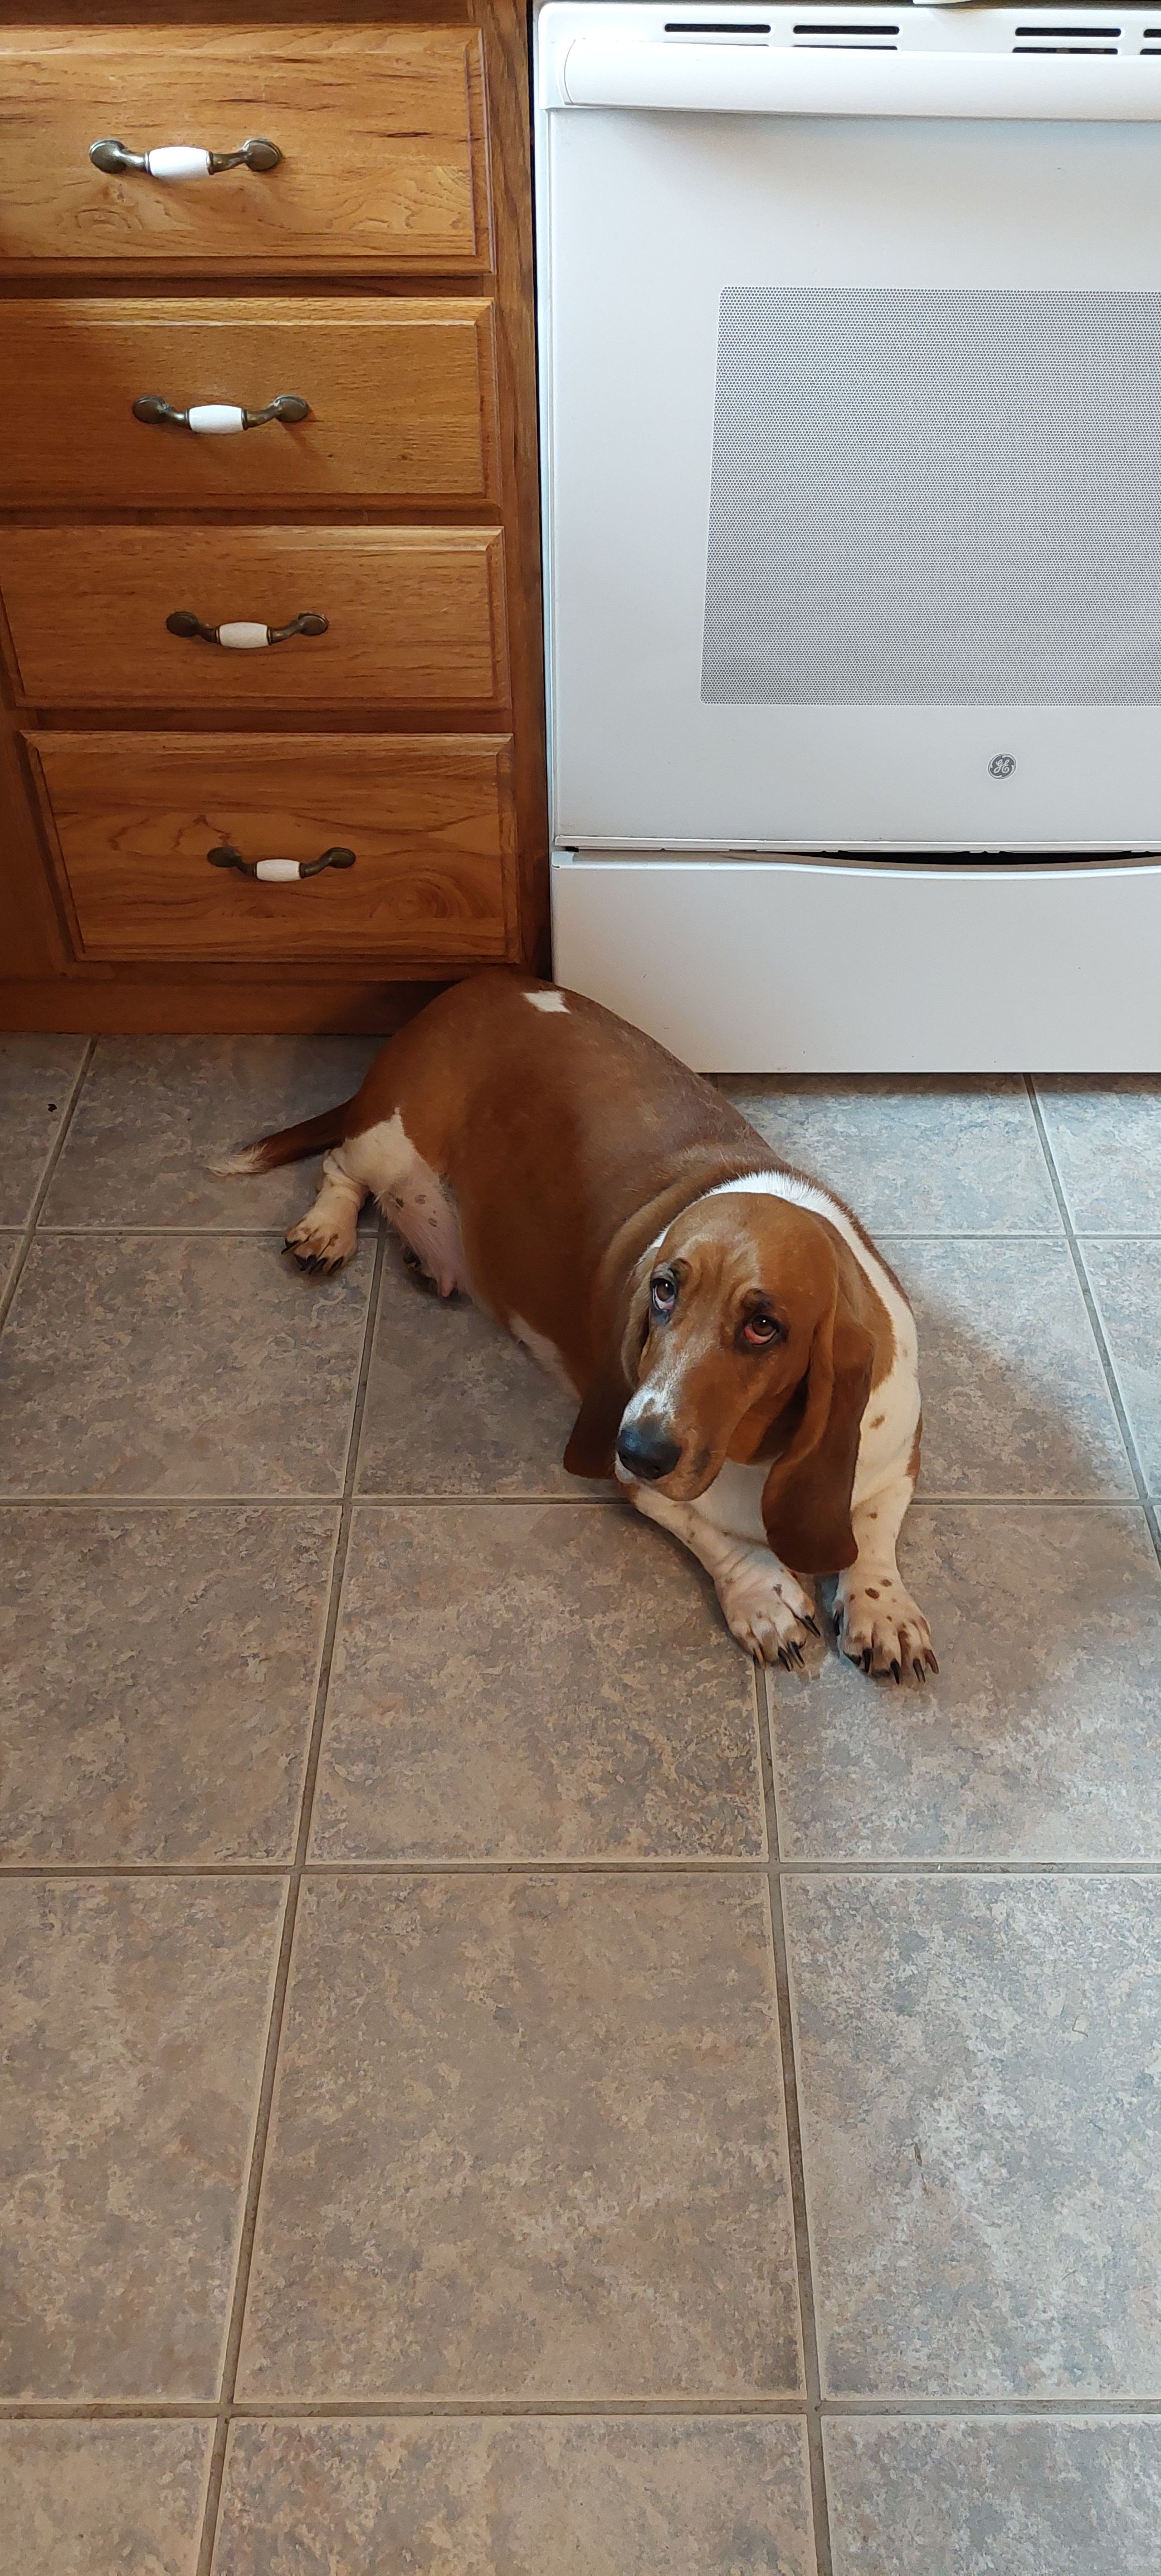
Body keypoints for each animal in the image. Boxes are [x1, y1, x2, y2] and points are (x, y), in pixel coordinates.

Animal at [221, 970, 935, 1679]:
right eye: (664, 1290)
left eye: (764, 1325)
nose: (639, 1448)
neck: (747, 1452)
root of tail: (471, 985)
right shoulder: (630, 1472)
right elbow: (702, 1527)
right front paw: (762, 1594)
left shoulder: (896, 1453)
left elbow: (870, 1528)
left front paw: (882, 1608)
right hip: (385, 1141)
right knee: (341, 1171)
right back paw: (326, 1231)